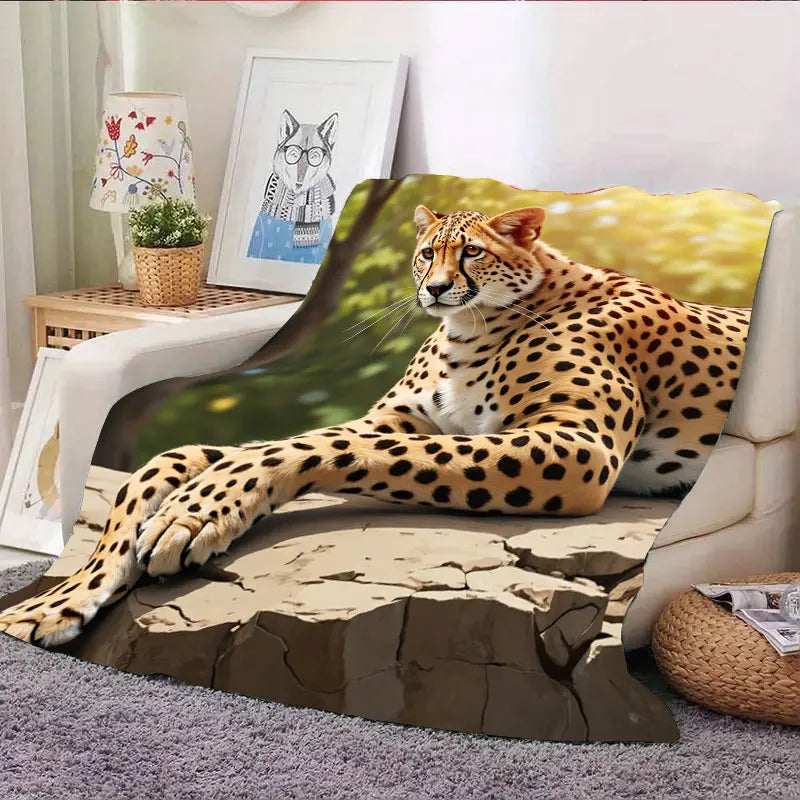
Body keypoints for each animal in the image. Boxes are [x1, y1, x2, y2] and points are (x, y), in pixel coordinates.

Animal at [0, 203, 750, 647]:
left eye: (472, 253)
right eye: (426, 252)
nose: (435, 288)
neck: (471, 328)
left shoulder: (577, 445)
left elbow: (306, 445)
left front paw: (195, 513)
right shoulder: (400, 422)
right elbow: (173, 462)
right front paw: (57, 599)